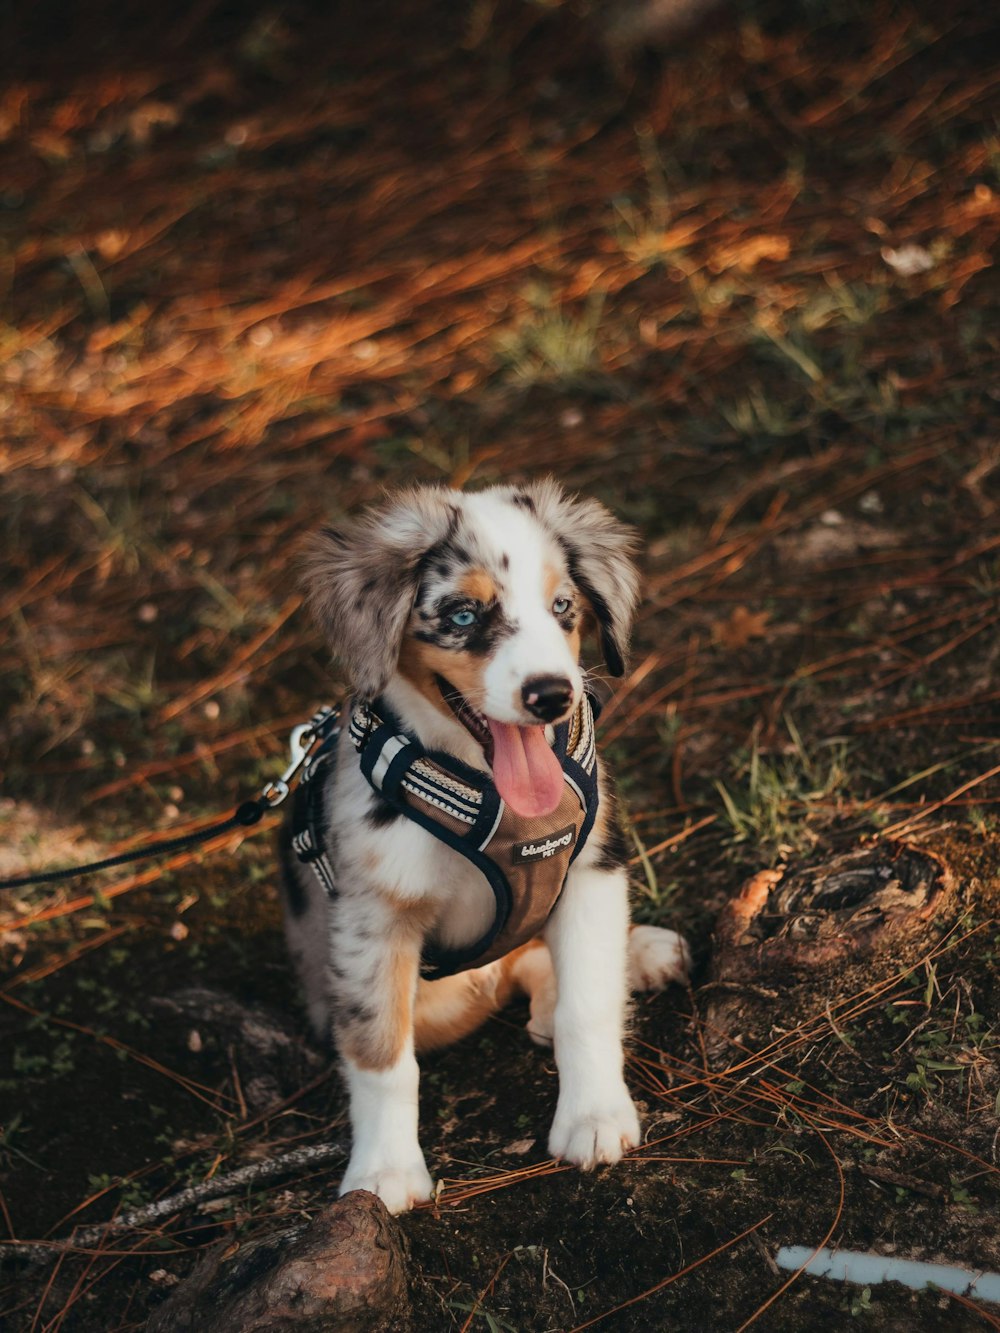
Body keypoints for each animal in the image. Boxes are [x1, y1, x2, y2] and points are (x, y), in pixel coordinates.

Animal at [280, 477, 688, 1210]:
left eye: (563, 606)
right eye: (464, 614)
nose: (552, 695)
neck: (484, 784)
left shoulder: (590, 870)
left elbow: (588, 1002)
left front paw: (594, 1115)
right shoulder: (373, 916)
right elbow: (382, 1053)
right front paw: (383, 1172)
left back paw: (638, 954)